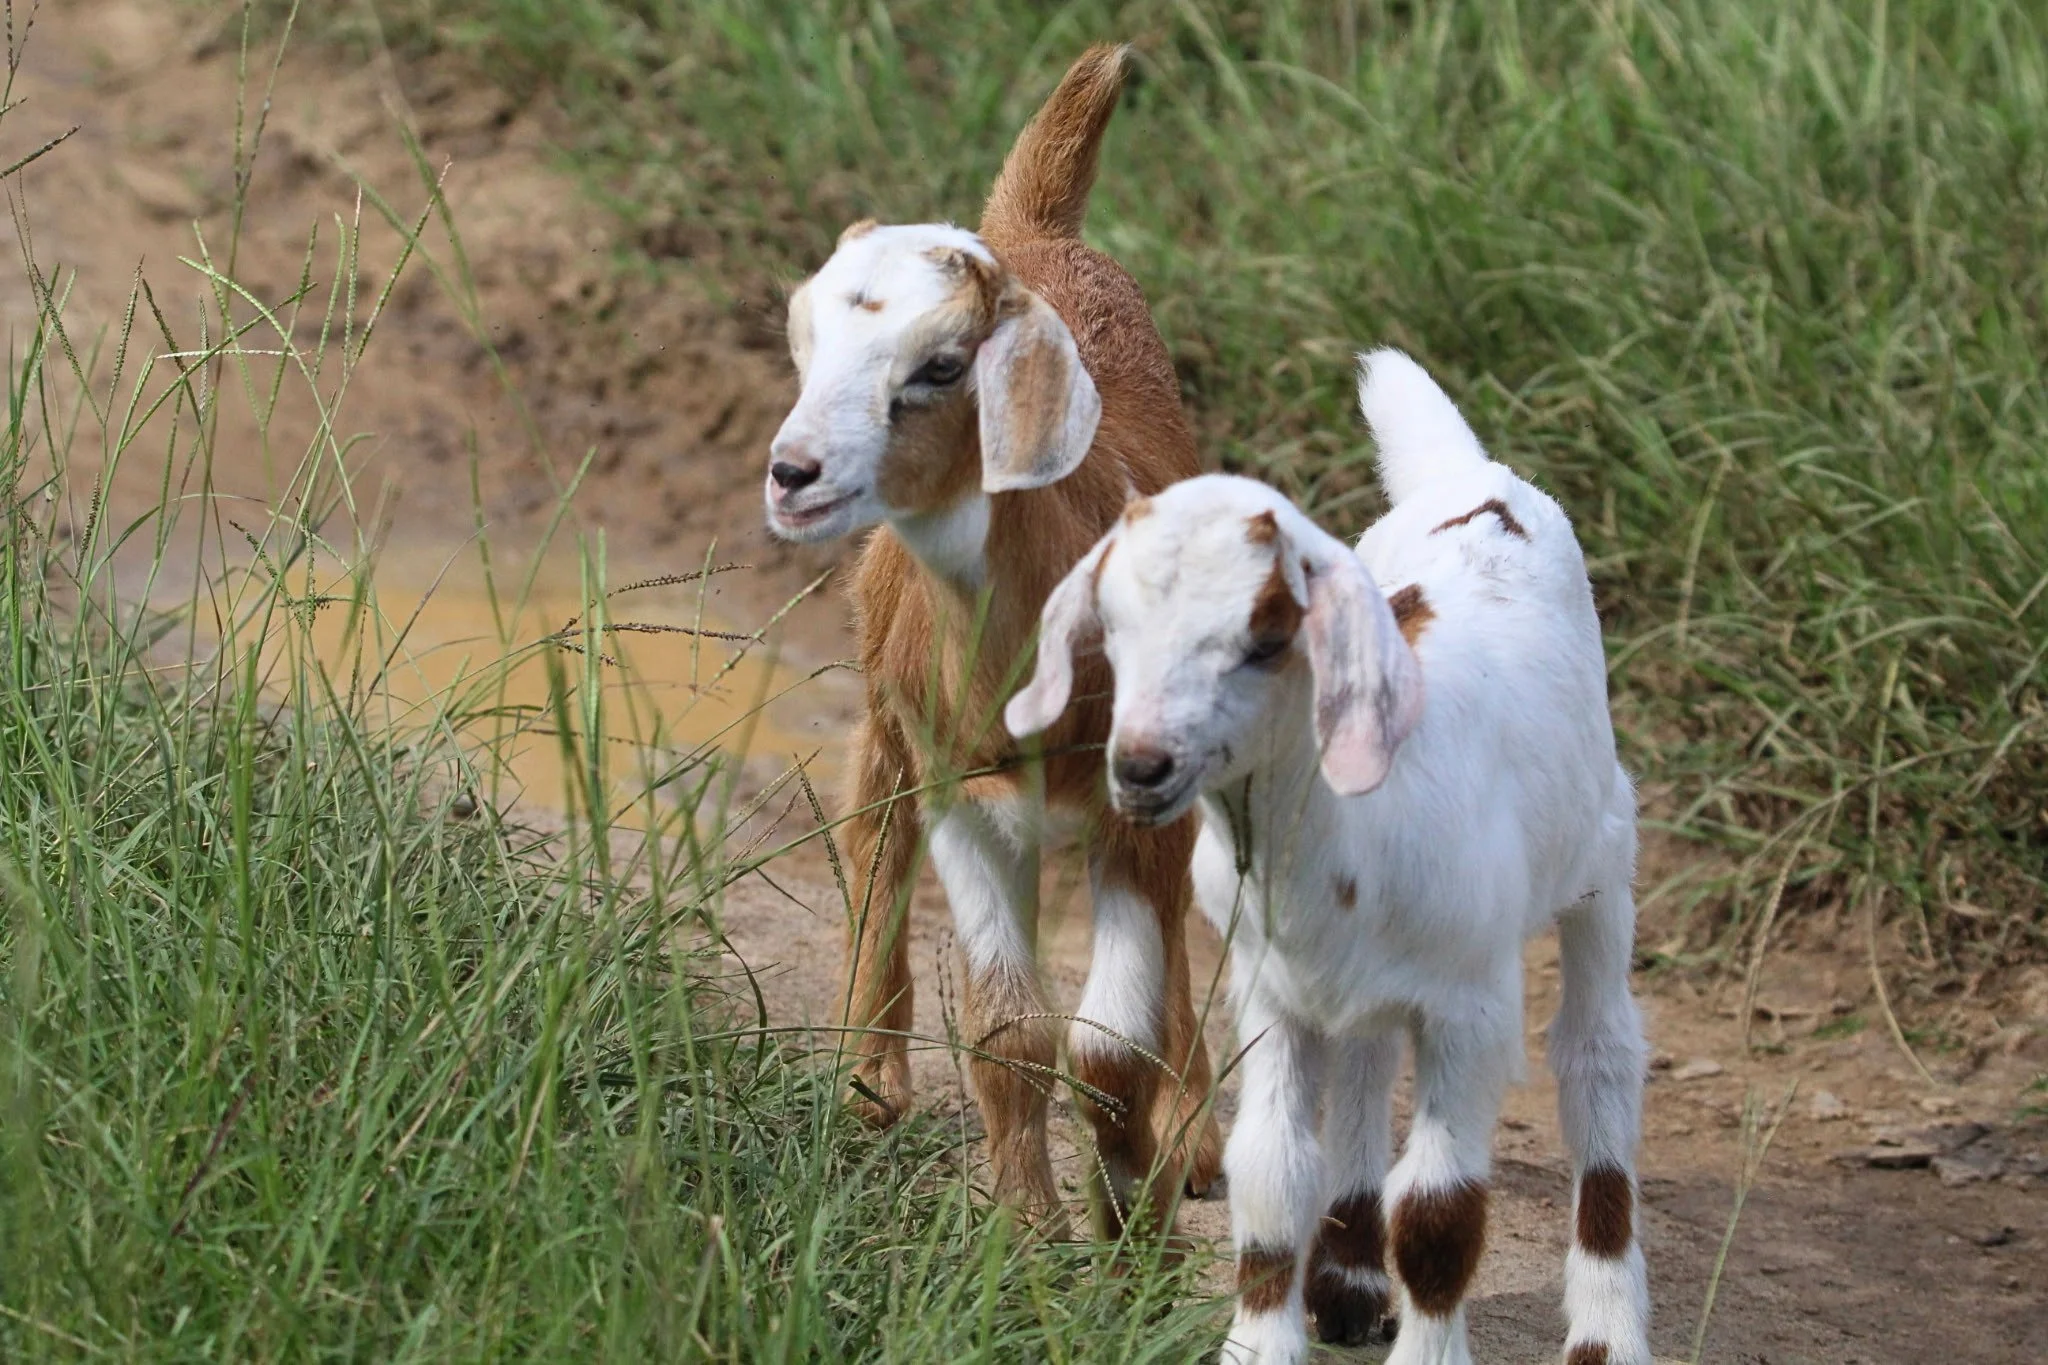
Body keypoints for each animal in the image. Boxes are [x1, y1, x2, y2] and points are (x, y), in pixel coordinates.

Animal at [763, 45, 1224, 1239]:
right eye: (804, 347)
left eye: (940, 365)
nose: (792, 474)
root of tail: (1032, 230)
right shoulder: (962, 787)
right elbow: (1011, 1028)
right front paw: (1029, 1229)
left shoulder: (1143, 800)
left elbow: (1112, 1041)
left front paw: (1138, 1207)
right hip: (890, 693)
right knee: (871, 829)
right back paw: (867, 1080)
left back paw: (1198, 1139)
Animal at [1008, 351, 1651, 1363]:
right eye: (1109, 626)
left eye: (1266, 638)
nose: (1142, 766)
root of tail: (1476, 481)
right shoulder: (1272, 985)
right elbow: (1270, 1172)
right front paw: (1261, 1342)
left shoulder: (1470, 1006)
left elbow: (1440, 1214)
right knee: (1366, 1055)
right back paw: (1349, 1281)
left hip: (1602, 861)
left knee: (1598, 1056)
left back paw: (1605, 1332)